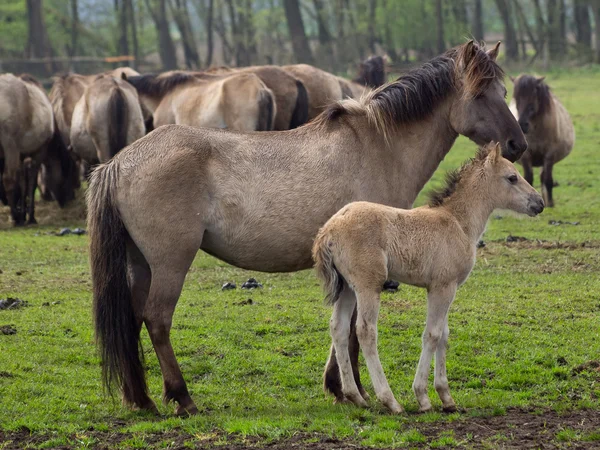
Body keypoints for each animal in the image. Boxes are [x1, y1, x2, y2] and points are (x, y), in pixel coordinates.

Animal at [0, 74, 76, 227]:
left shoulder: (22, 156)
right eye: (68, 173)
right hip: (9, 146)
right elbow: (31, 184)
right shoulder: (39, 152)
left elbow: (22, 183)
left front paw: (23, 214)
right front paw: (30, 217)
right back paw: (15, 217)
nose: (69, 198)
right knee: (8, 180)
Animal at [314, 142, 544, 414]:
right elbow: (432, 335)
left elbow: (444, 335)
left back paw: (355, 397)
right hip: (368, 285)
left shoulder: (446, 289)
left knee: (338, 328)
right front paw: (423, 397)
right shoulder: (442, 287)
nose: (539, 203)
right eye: (512, 177)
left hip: (348, 288)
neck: (458, 222)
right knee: (365, 331)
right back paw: (390, 400)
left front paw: (446, 397)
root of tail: (328, 230)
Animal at [508, 74, 576, 207]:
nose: (522, 125)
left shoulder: (549, 155)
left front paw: (550, 203)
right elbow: (528, 179)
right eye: (516, 99)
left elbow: (548, 180)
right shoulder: (526, 157)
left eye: (532, 97)